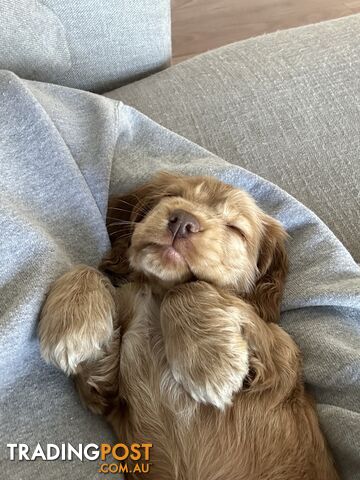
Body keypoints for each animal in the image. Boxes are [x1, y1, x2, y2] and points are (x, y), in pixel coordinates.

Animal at [38, 171, 338, 478]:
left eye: (236, 229)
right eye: (171, 196)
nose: (182, 221)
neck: (157, 292)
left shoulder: (283, 359)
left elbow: (191, 288)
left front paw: (212, 364)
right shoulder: (104, 393)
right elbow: (87, 271)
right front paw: (74, 329)